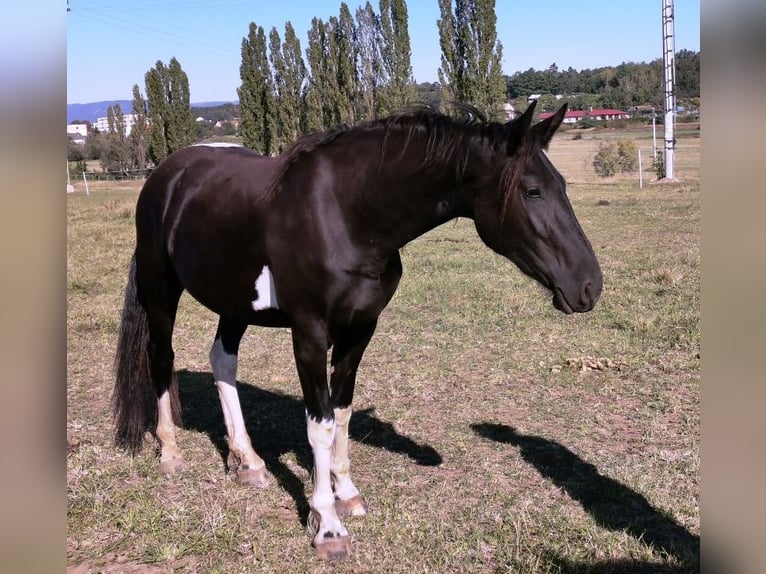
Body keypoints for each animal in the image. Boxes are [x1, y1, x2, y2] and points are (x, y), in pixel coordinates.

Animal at [115, 101, 608, 560]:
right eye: (531, 191)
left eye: (561, 186)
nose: (589, 286)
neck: (348, 214)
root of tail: (167, 174)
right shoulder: (309, 334)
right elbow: (320, 424)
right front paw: (328, 526)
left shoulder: (360, 330)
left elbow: (343, 412)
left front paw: (345, 493)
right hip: (161, 289)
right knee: (161, 358)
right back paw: (170, 453)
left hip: (234, 301)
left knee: (222, 361)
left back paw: (248, 460)